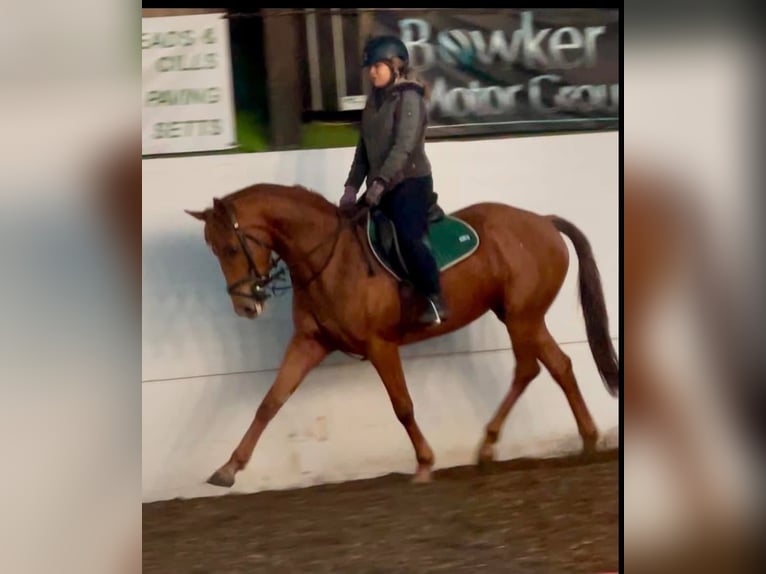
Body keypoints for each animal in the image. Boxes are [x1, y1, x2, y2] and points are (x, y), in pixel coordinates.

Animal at [186, 182, 619, 488]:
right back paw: (586, 441)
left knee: (528, 369)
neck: (331, 259)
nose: (245, 307)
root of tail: (544, 221)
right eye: (214, 250)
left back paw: (489, 446)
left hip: (521, 318)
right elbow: (271, 402)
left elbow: (402, 406)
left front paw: (425, 464)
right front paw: (228, 468)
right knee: (558, 365)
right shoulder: (311, 342)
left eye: (230, 248)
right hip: (525, 317)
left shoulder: (380, 345)